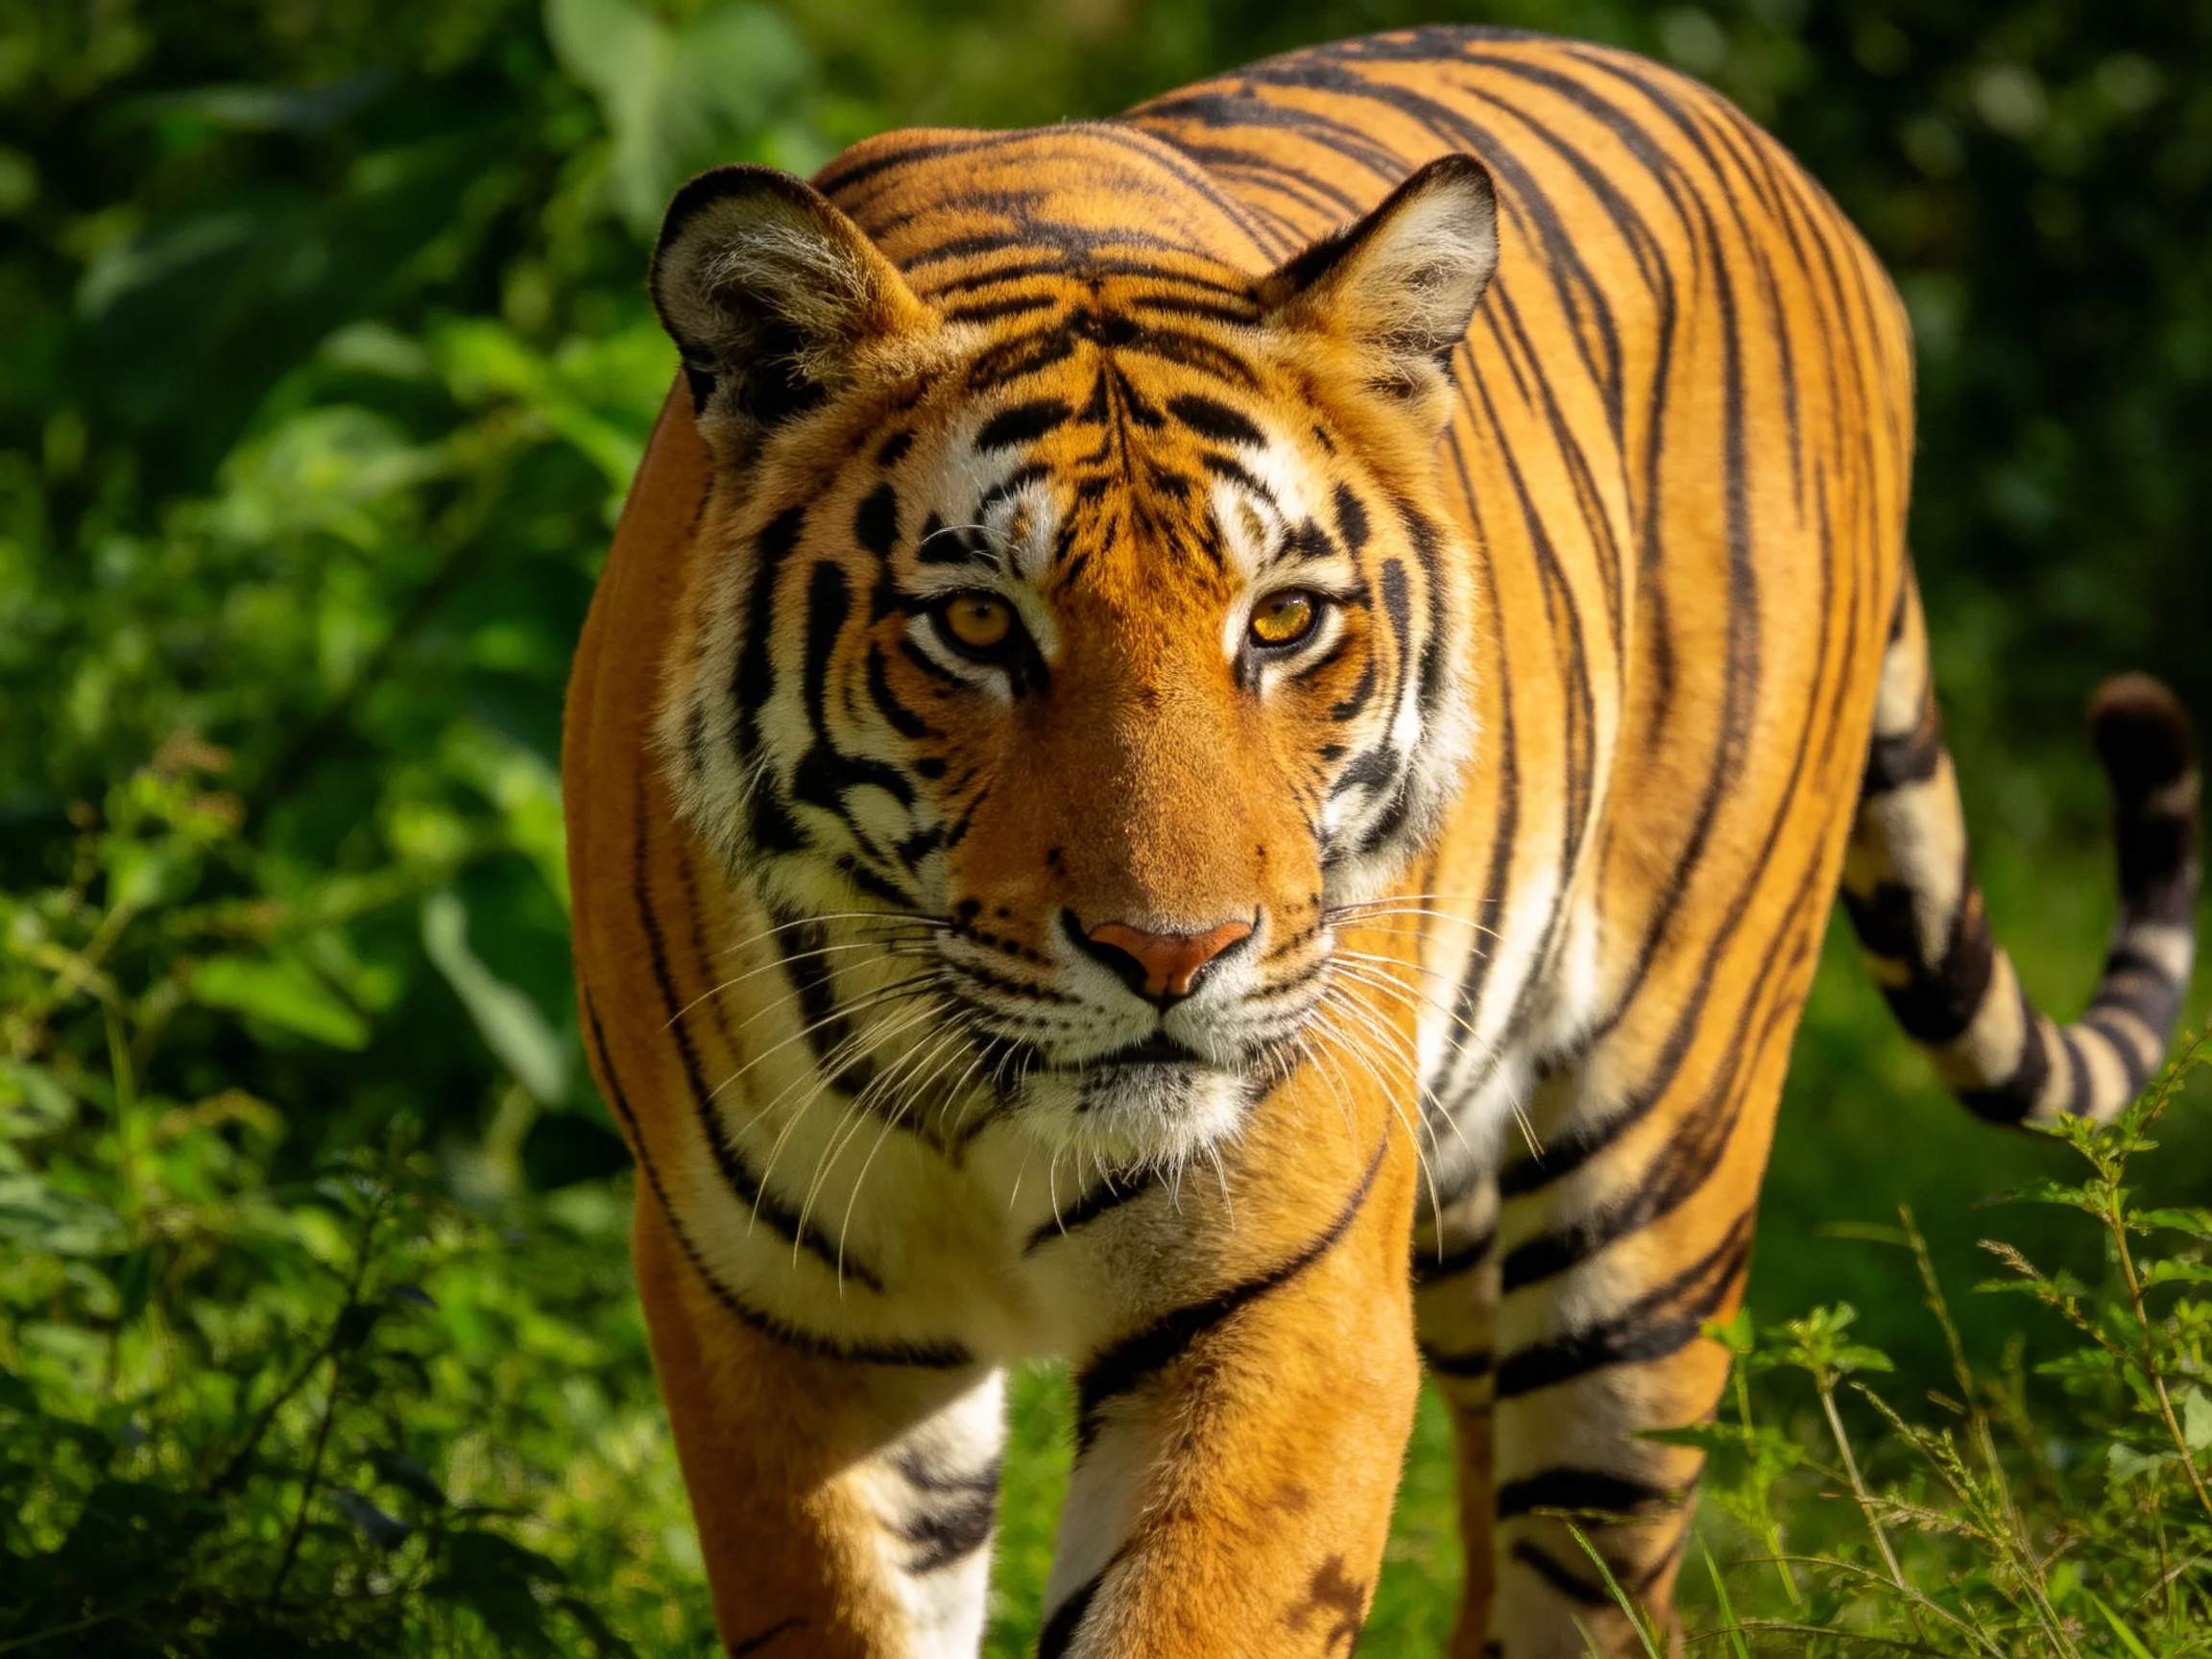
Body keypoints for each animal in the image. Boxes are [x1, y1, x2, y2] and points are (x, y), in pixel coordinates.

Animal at [560, 24, 2201, 1659]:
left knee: (1596, 1554)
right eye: (974, 626)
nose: (1175, 954)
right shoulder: (773, 1324)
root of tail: (1787, 169)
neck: (988, 1109)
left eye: (1284, 619)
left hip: (1655, 1178)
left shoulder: (1288, 1309)